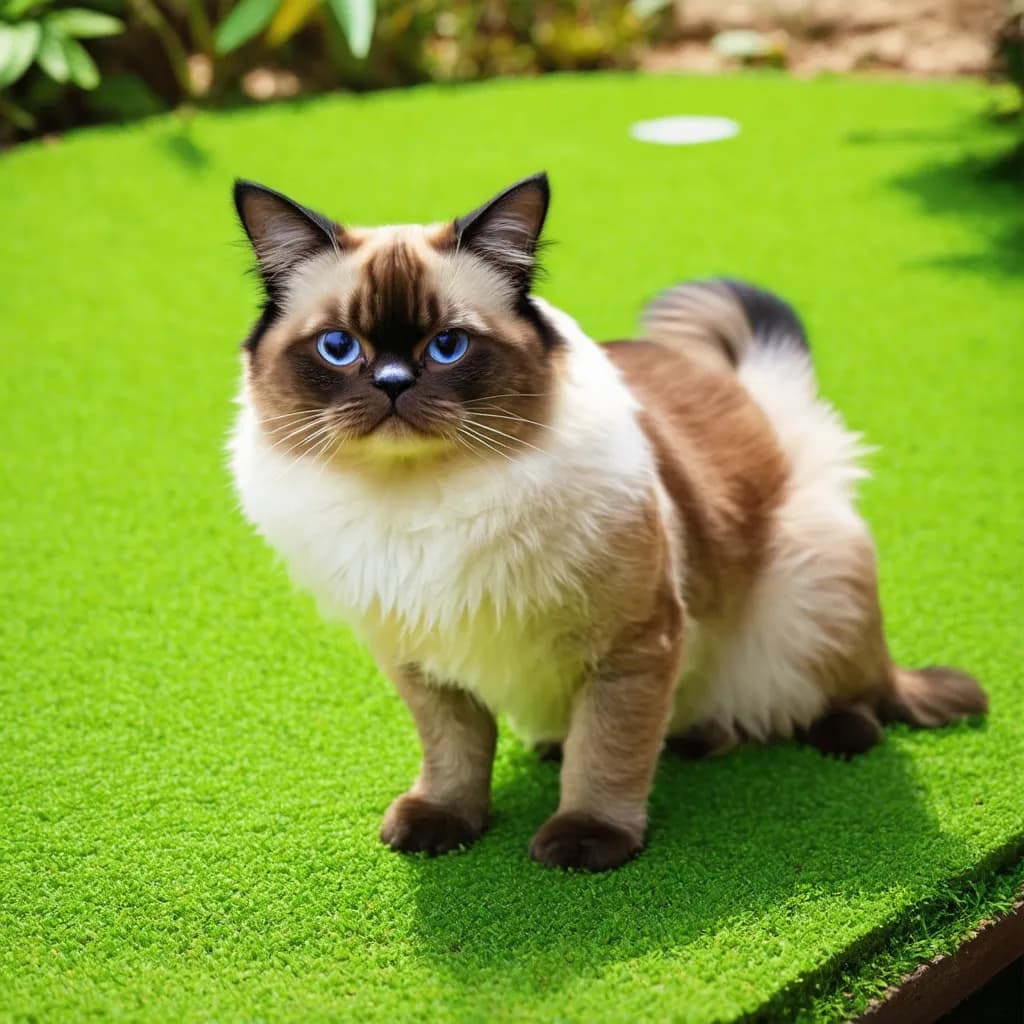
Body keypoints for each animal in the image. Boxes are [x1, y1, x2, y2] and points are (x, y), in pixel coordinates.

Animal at [230, 174, 983, 872]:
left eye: (448, 347)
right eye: (338, 348)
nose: (391, 383)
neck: (422, 500)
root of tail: (773, 419)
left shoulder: (632, 647)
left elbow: (607, 754)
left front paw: (586, 840)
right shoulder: (421, 660)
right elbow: (454, 752)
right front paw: (446, 821)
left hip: (810, 586)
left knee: (859, 698)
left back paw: (824, 734)